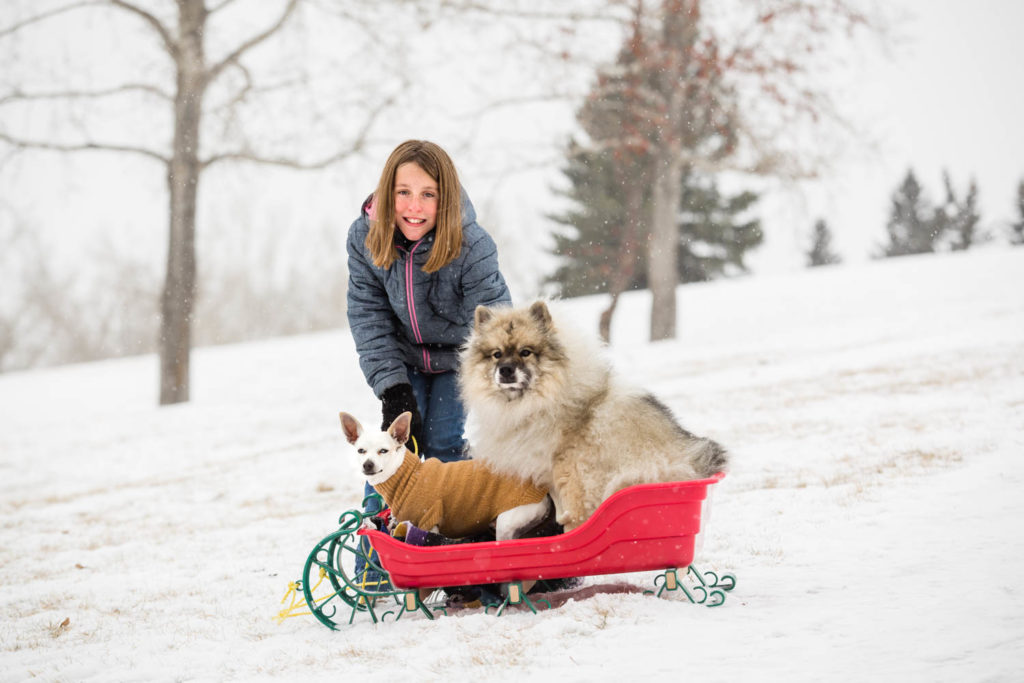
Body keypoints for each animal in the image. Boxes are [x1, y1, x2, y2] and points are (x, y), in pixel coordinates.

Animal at [342, 409, 552, 540]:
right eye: (361, 451)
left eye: (383, 451)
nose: (368, 465)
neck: (406, 477)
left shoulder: (428, 523)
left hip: (507, 523)